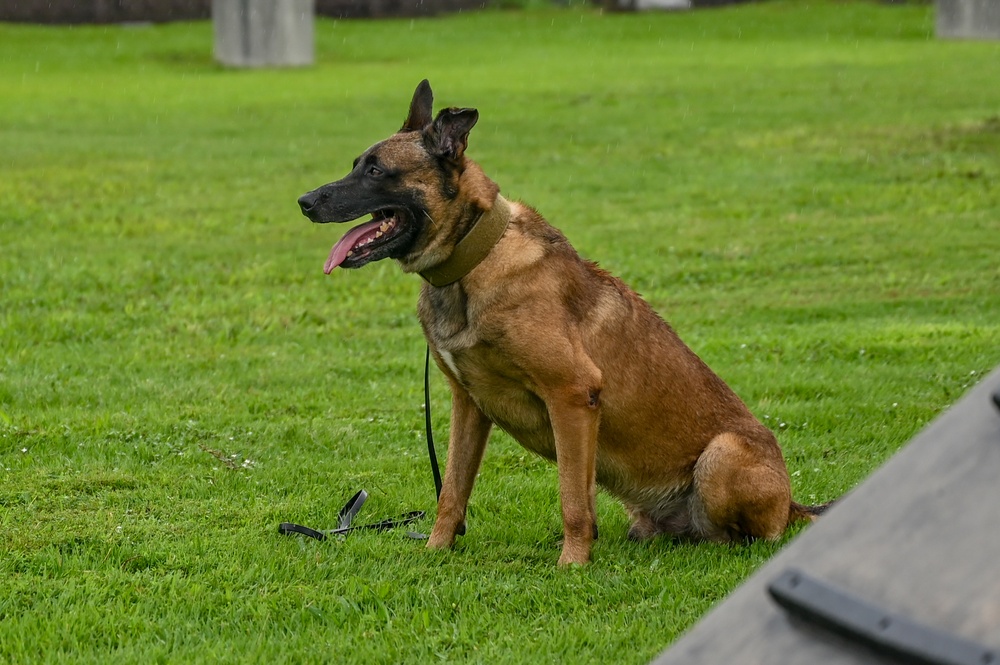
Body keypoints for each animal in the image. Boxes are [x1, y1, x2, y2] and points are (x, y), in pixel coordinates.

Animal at [296, 80, 828, 564]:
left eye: (376, 170)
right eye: (355, 165)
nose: (304, 201)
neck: (474, 259)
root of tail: (792, 504)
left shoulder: (572, 396)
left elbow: (573, 500)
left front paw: (572, 564)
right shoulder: (468, 405)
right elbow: (451, 492)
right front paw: (435, 550)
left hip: (721, 457)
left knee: (751, 537)